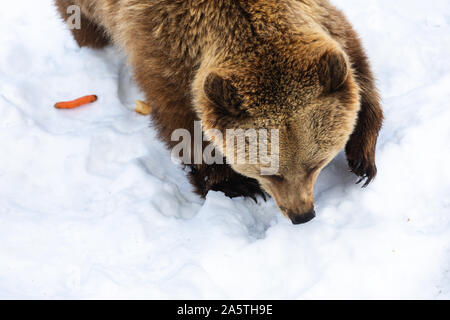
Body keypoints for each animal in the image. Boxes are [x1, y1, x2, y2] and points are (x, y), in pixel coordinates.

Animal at [54, 0, 382, 224]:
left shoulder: (321, 22)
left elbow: (356, 68)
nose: (302, 214)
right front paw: (235, 184)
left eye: (315, 164)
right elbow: (183, 126)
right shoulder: (165, 52)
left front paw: (362, 158)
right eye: (270, 172)